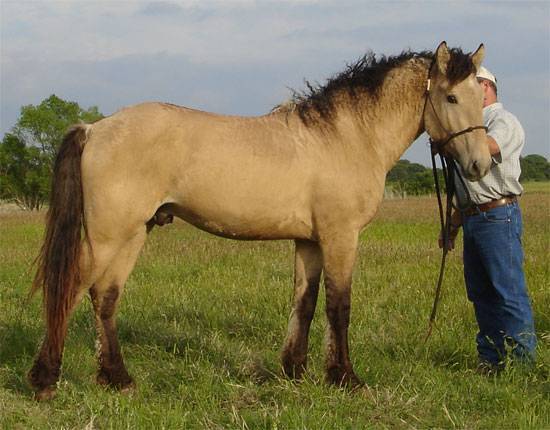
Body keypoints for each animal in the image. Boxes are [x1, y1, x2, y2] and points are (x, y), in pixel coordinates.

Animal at [27, 41, 492, 400]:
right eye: (451, 98)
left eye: (477, 98)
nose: (481, 164)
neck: (346, 136)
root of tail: (95, 128)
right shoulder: (340, 236)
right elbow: (339, 305)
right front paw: (345, 378)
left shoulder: (309, 241)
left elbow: (305, 302)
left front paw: (295, 371)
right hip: (108, 235)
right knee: (70, 289)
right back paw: (46, 380)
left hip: (133, 233)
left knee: (104, 297)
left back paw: (117, 378)